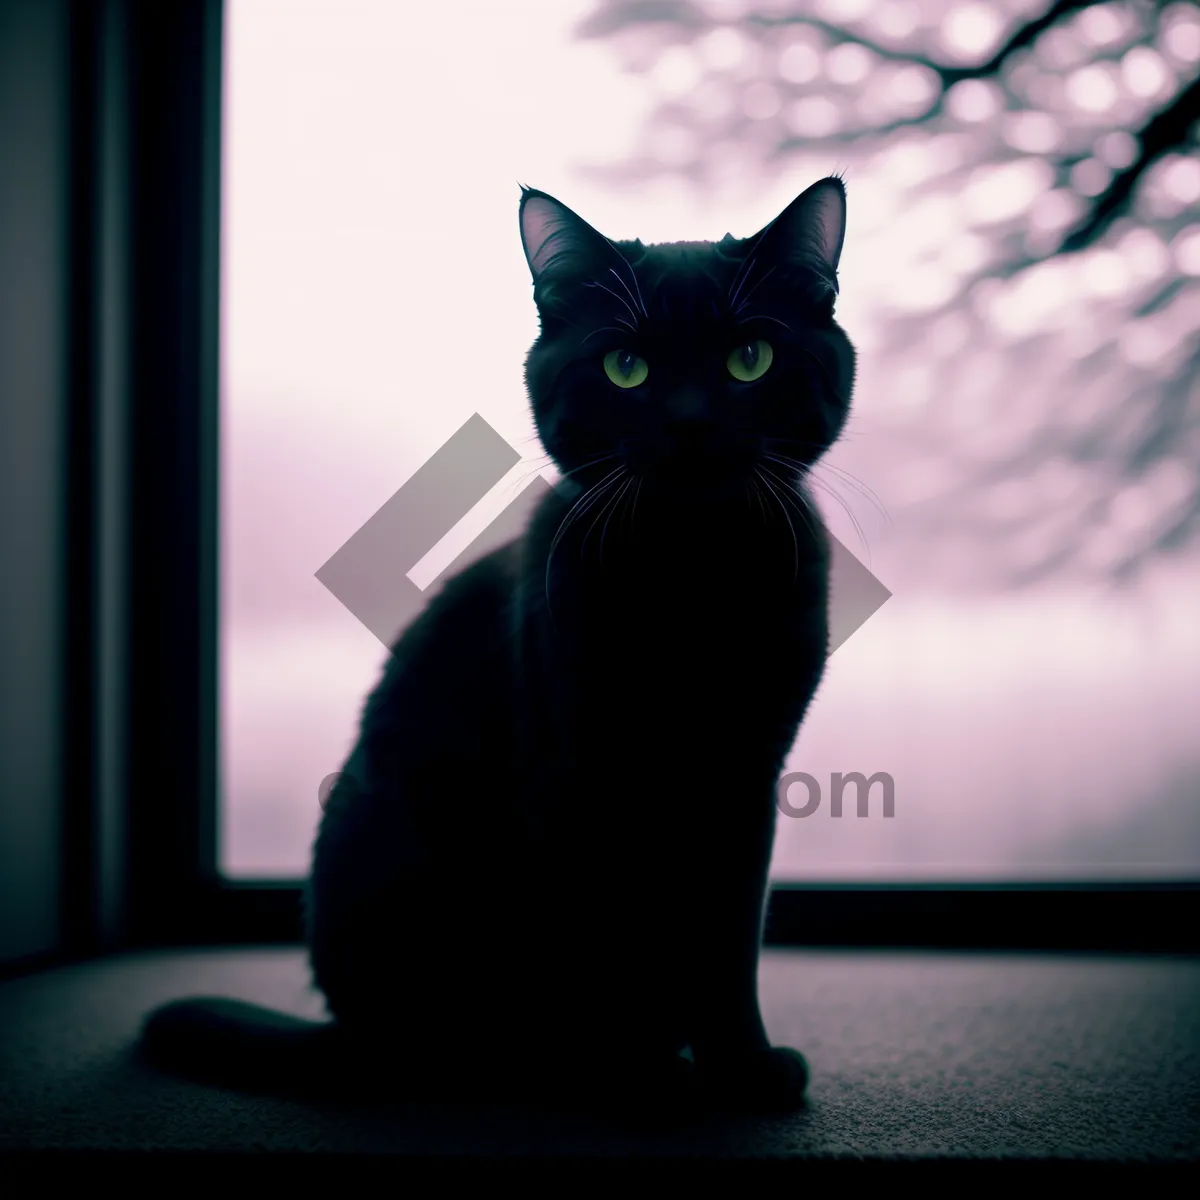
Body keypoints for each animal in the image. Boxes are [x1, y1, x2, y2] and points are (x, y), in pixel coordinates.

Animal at [142, 177, 854, 1123]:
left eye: (750, 360)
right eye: (625, 368)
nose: (690, 423)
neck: (690, 573)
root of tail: (347, 1038)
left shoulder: (745, 778)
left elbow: (728, 941)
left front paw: (742, 1071)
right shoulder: (575, 771)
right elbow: (600, 941)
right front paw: (627, 1081)